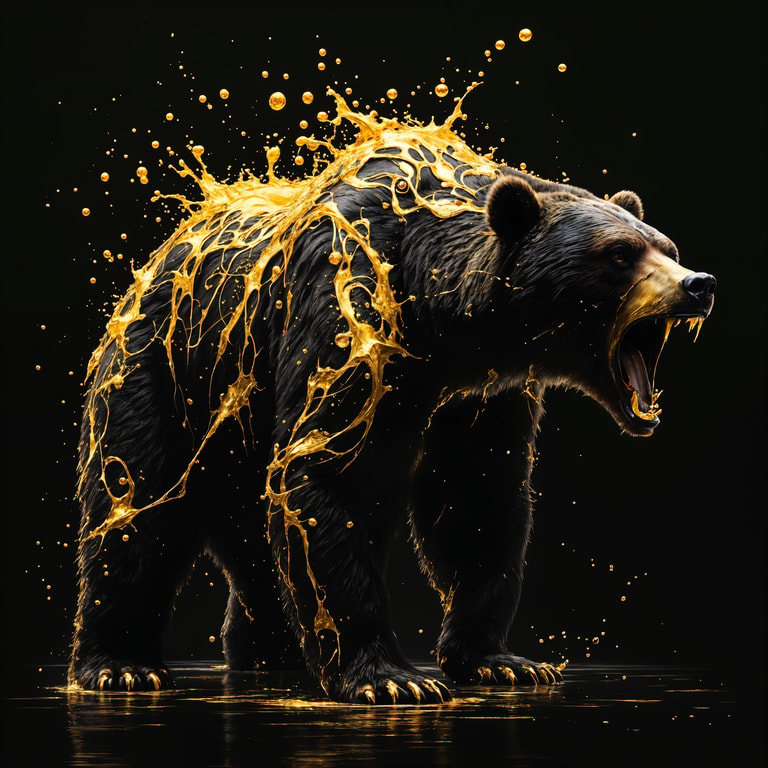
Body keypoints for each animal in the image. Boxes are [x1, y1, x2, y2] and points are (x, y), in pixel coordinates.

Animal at [68, 93, 716, 703]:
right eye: (619, 254)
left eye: (667, 246)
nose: (699, 284)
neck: (438, 321)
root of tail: (148, 270)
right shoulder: (346, 313)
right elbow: (323, 475)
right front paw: (391, 677)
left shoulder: (480, 397)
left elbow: (478, 501)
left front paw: (503, 660)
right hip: (164, 373)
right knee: (134, 510)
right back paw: (120, 665)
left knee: (251, 538)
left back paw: (270, 650)